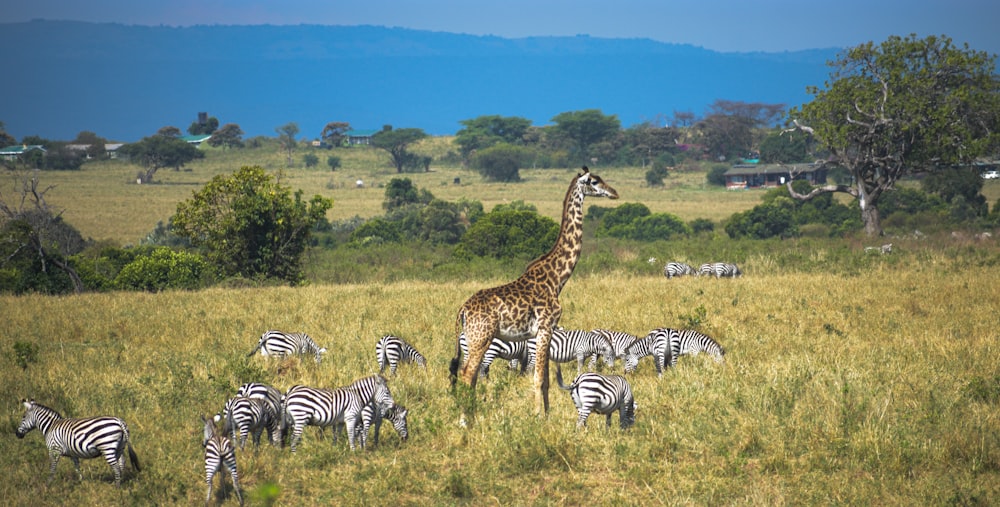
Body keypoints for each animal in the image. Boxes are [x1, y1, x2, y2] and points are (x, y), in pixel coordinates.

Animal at [452, 167, 616, 416]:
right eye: (594, 181)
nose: (614, 192)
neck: (557, 278)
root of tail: (463, 310)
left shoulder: (546, 331)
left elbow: (546, 379)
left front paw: (546, 415)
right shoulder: (545, 328)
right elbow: (538, 377)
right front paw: (538, 416)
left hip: (474, 338)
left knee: (468, 376)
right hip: (481, 337)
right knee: (467, 375)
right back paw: (465, 418)